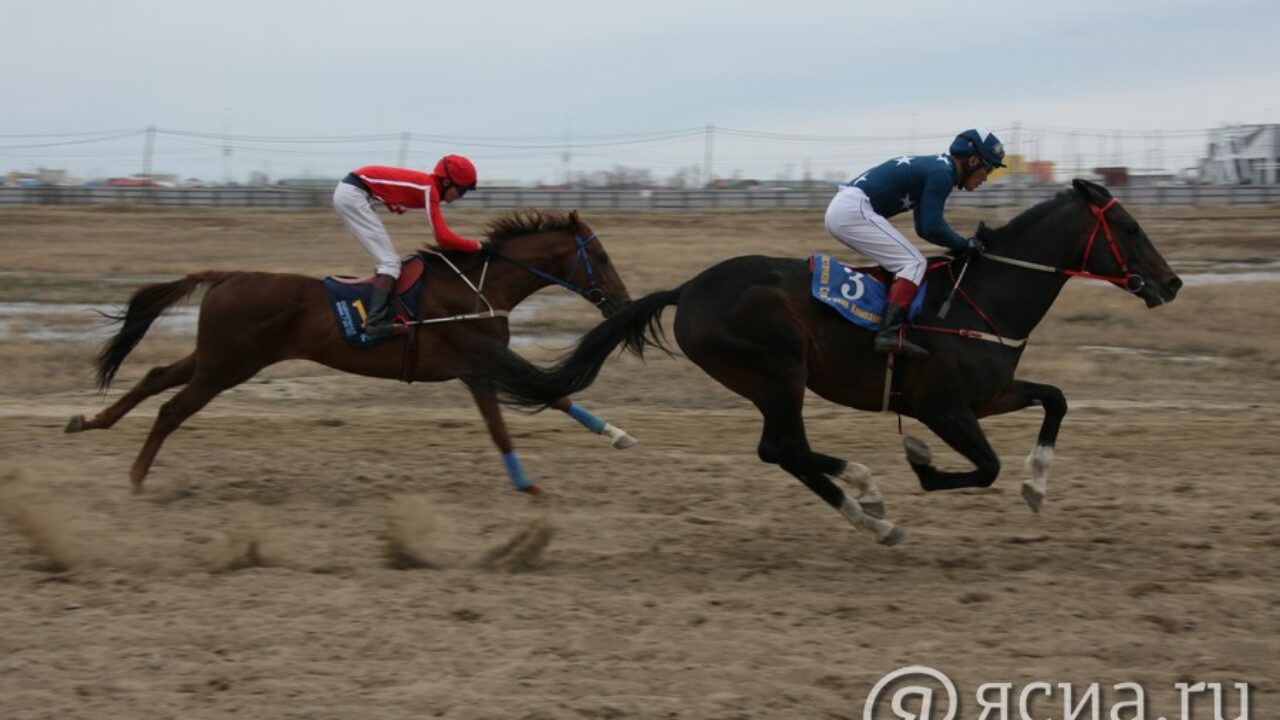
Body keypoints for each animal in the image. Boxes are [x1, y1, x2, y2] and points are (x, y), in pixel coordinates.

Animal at [64, 207, 634, 491]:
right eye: (603, 256)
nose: (623, 303)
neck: (476, 288)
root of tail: (224, 274)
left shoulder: (477, 369)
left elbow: (534, 406)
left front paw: (613, 437)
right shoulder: (480, 358)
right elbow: (538, 395)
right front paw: (541, 482)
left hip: (218, 358)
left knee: (156, 376)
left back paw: (89, 421)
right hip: (227, 366)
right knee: (171, 408)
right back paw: (135, 477)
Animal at [468, 179, 1177, 543]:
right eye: (1131, 229)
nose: (1171, 285)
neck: (985, 297)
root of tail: (688, 288)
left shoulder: (990, 394)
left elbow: (1055, 399)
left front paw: (1036, 485)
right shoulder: (942, 406)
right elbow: (984, 467)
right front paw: (920, 463)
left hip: (772, 378)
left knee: (784, 450)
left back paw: (867, 514)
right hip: (781, 366)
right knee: (782, 446)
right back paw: (868, 493)